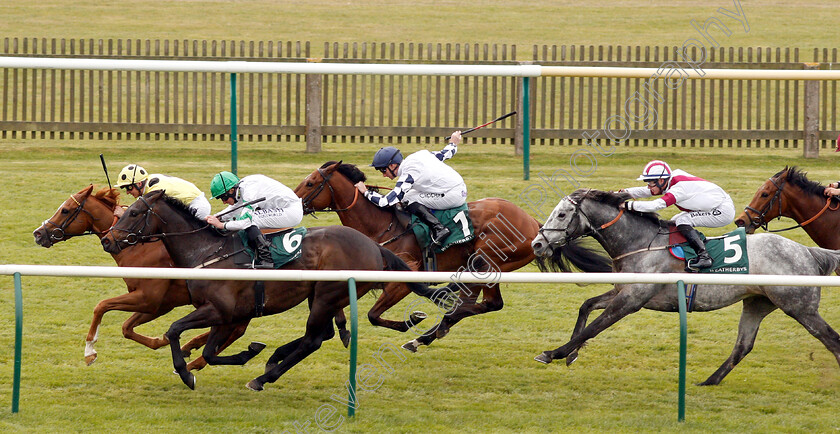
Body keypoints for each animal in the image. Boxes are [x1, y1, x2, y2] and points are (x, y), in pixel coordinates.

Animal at [36, 185, 246, 372]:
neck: (136, 248)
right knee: (235, 329)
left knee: (234, 330)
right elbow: (126, 328)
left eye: (65, 210)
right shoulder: (160, 304)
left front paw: (89, 352)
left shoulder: (148, 298)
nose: (37, 233)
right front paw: (162, 339)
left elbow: (101, 306)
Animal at [100, 190, 434, 390]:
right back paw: (272, 359)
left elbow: (174, 331)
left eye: (133, 213)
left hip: (328, 295)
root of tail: (374, 247)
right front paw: (249, 351)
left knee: (313, 340)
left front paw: (186, 373)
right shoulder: (229, 315)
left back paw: (264, 377)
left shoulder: (218, 310)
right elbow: (208, 351)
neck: (207, 250)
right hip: (320, 296)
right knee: (322, 335)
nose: (106, 240)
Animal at [296, 161, 612, 350]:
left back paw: (433, 325)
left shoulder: (404, 276)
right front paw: (343, 330)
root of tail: (534, 224)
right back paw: (434, 327)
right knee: (480, 304)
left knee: (481, 303)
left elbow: (374, 315)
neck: (380, 224)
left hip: (486, 259)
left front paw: (413, 319)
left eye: (310, 183)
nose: (295, 203)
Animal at [532, 188, 840, 384]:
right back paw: (708, 382)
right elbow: (586, 307)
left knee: (830, 339)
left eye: (561, 215)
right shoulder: (622, 291)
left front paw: (554, 353)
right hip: (758, 303)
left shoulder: (632, 300)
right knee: (743, 346)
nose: (537, 244)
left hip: (799, 307)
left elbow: (597, 326)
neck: (639, 242)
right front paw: (571, 354)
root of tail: (808, 251)